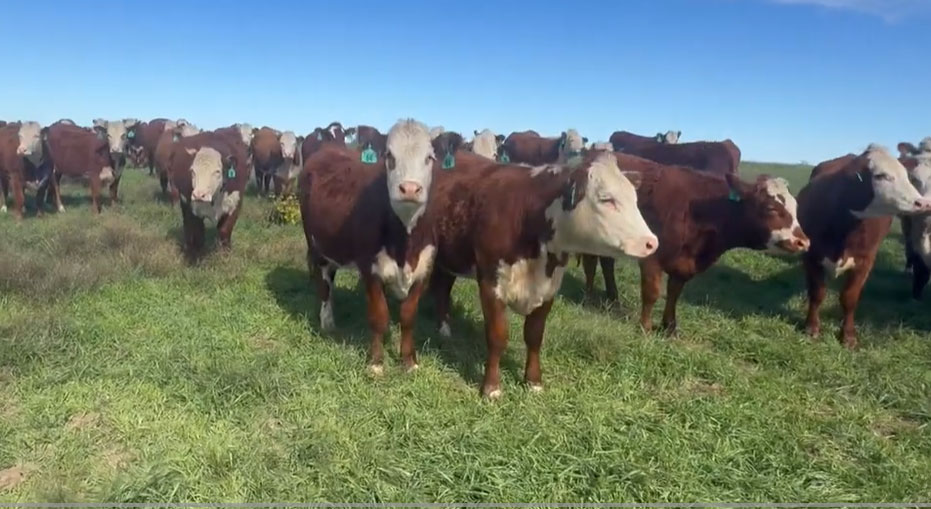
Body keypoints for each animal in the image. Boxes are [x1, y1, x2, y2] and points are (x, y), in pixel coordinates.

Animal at [167, 129, 251, 260]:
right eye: (192, 171)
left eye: (217, 171)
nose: (199, 195)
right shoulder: (191, 208)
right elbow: (197, 233)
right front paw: (195, 256)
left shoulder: (235, 205)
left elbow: (225, 231)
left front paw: (225, 255)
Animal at [298, 119, 441, 376]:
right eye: (390, 156)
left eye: (429, 157)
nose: (410, 188)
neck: (406, 244)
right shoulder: (370, 269)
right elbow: (379, 316)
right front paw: (376, 362)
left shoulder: (424, 269)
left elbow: (408, 317)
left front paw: (409, 361)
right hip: (315, 244)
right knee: (323, 283)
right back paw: (327, 321)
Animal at [423, 150, 657, 398]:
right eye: (607, 199)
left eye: (634, 199)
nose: (651, 243)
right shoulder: (490, 283)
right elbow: (497, 336)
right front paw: (491, 387)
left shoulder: (549, 287)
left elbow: (534, 335)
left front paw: (534, 381)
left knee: (443, 286)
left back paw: (444, 326)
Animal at [580, 152, 809, 334]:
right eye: (771, 208)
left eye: (796, 207)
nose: (803, 242)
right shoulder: (653, 258)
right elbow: (652, 292)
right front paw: (645, 327)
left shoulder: (684, 265)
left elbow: (674, 293)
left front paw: (670, 327)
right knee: (590, 264)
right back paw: (589, 298)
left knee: (606, 263)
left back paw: (613, 299)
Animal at [799, 144, 931, 349]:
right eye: (881, 176)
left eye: (906, 175)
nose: (923, 203)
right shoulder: (811, 256)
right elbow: (817, 293)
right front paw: (811, 327)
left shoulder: (865, 261)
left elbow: (849, 298)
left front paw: (848, 335)